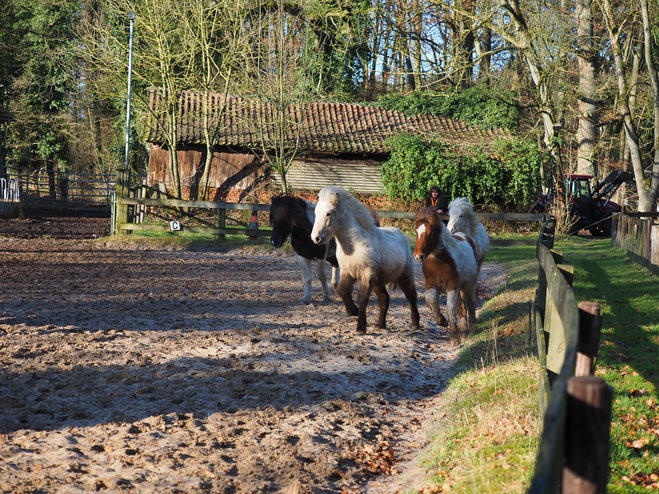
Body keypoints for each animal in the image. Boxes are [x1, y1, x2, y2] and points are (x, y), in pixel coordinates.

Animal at [312, 186, 420, 336]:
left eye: (328, 213)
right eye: (316, 213)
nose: (315, 238)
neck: (354, 246)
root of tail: (402, 235)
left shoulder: (367, 274)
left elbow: (362, 298)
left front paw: (361, 327)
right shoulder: (347, 272)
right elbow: (342, 291)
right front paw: (353, 311)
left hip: (405, 276)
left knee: (411, 296)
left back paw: (415, 323)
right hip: (378, 281)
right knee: (384, 298)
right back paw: (380, 324)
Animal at [412, 206, 480, 346]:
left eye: (431, 233)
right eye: (416, 231)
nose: (418, 256)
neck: (439, 261)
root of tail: (464, 236)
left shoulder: (452, 285)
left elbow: (450, 308)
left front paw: (454, 338)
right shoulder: (431, 283)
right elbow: (431, 300)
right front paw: (442, 321)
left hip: (469, 284)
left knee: (470, 302)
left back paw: (471, 327)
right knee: (461, 307)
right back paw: (464, 333)